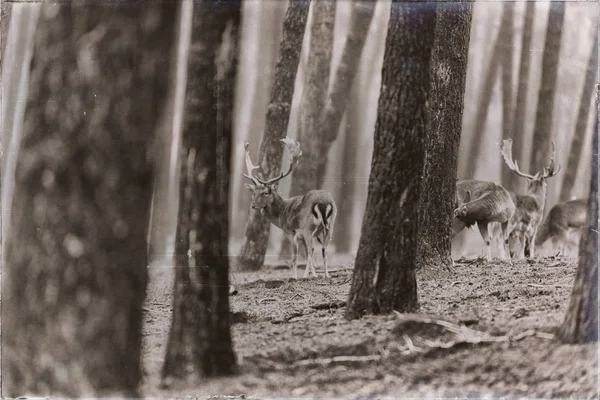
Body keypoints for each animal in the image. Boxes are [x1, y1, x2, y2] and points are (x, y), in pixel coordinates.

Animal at [243, 139, 338, 280]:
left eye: (265, 193)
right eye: (253, 192)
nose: (254, 205)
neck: (282, 214)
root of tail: (323, 202)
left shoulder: (291, 233)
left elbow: (295, 256)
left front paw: (295, 276)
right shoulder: (304, 235)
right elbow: (310, 253)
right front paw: (315, 274)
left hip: (308, 227)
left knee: (312, 250)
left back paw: (305, 276)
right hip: (330, 226)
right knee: (324, 251)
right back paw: (327, 275)